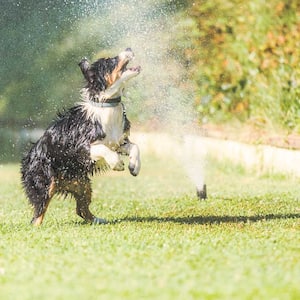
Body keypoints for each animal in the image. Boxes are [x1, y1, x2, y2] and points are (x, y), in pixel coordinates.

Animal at [21, 47, 141, 225]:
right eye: (110, 61)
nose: (129, 48)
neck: (106, 106)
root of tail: (27, 156)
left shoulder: (119, 141)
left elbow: (135, 147)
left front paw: (134, 166)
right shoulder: (80, 147)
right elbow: (103, 149)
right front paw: (117, 163)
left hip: (82, 185)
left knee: (81, 209)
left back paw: (98, 220)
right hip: (43, 185)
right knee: (37, 216)